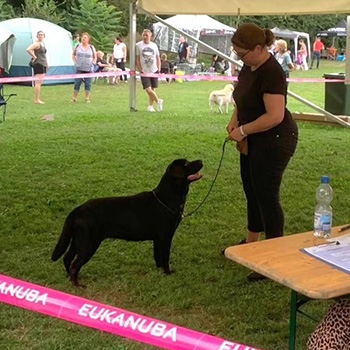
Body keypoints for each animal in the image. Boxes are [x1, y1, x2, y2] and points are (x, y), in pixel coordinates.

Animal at [51, 159, 202, 288]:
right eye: (186, 163)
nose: (201, 160)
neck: (167, 198)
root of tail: (77, 209)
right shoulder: (166, 236)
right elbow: (165, 257)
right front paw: (168, 273)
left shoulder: (157, 238)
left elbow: (157, 256)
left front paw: (159, 272)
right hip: (88, 243)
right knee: (74, 264)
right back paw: (77, 285)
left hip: (77, 240)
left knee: (67, 258)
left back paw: (69, 279)